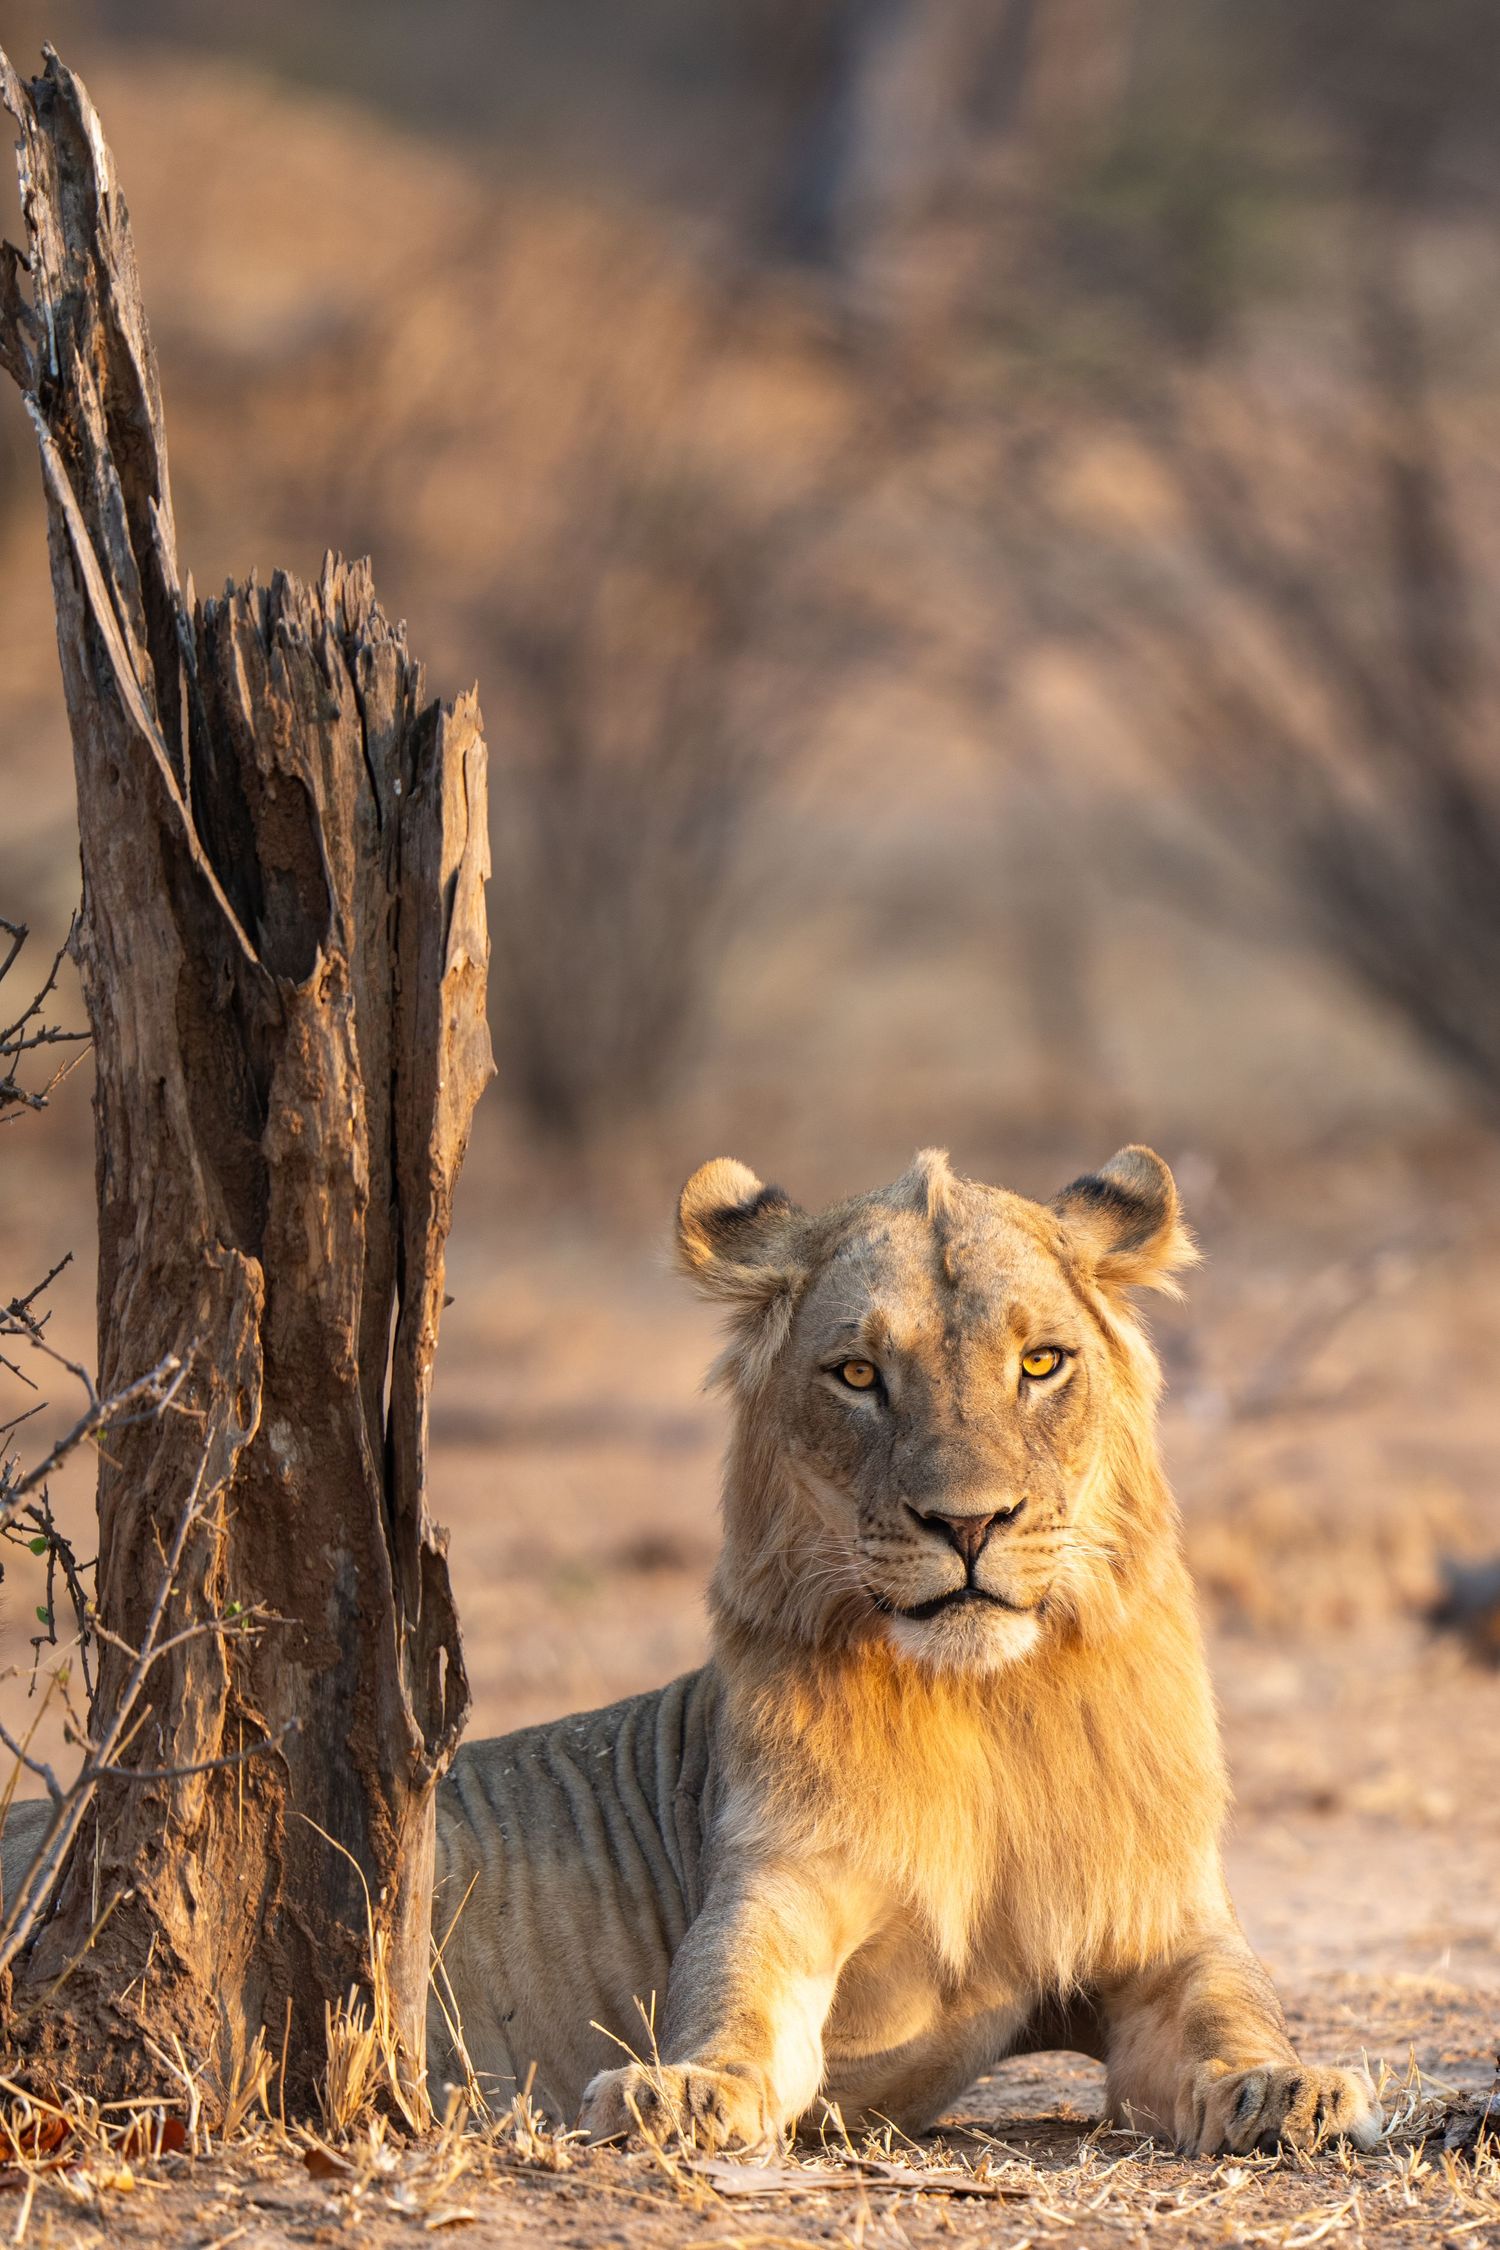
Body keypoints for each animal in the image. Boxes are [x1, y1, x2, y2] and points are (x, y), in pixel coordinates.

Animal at [2, 1148, 1380, 2157]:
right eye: (859, 1375)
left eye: (1042, 1362)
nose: (968, 1524)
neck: (982, 1712)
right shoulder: (775, 1882)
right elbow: (738, 2007)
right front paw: (682, 2095)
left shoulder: (1162, 1929)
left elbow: (1232, 2012)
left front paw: (1293, 2090)